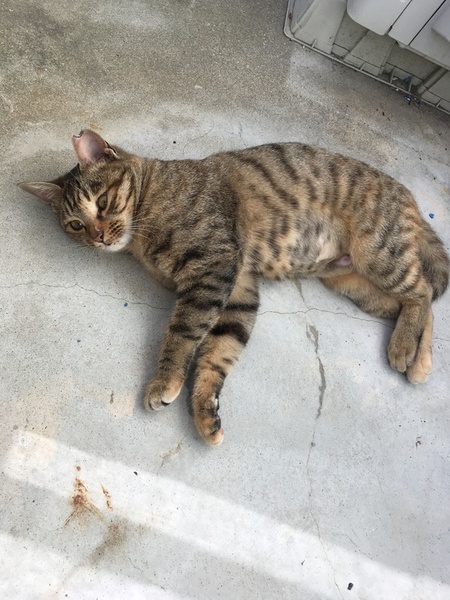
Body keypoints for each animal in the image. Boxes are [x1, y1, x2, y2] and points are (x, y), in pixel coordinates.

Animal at [18, 129, 449, 445]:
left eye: (103, 202)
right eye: (75, 224)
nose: (98, 237)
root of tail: (405, 192)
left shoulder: (214, 268)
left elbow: (181, 335)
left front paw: (165, 382)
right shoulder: (239, 290)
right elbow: (218, 353)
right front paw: (204, 411)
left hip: (380, 252)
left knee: (422, 290)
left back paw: (404, 350)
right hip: (354, 283)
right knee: (418, 301)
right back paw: (419, 360)